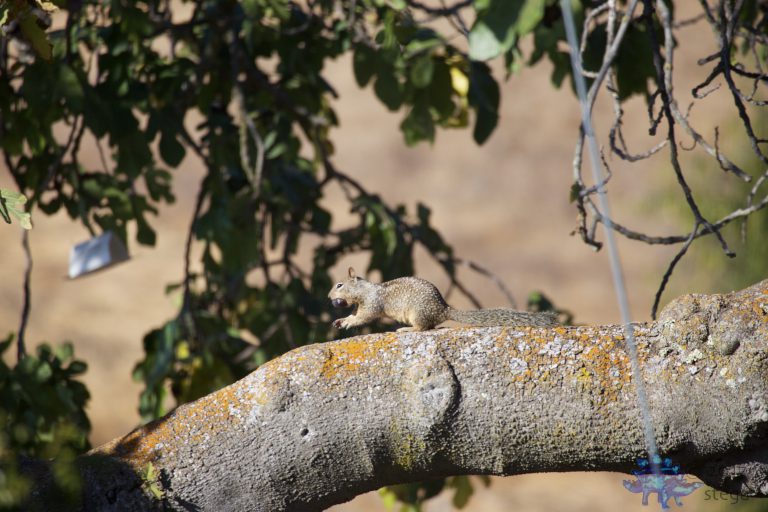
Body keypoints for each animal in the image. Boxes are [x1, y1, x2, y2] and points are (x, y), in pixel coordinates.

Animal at [328, 267, 558, 332]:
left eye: (339, 285)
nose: (329, 297)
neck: (364, 290)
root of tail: (443, 309)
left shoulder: (372, 303)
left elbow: (364, 317)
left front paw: (348, 323)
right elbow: (355, 315)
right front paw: (341, 321)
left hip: (417, 314)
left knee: (423, 328)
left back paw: (406, 330)